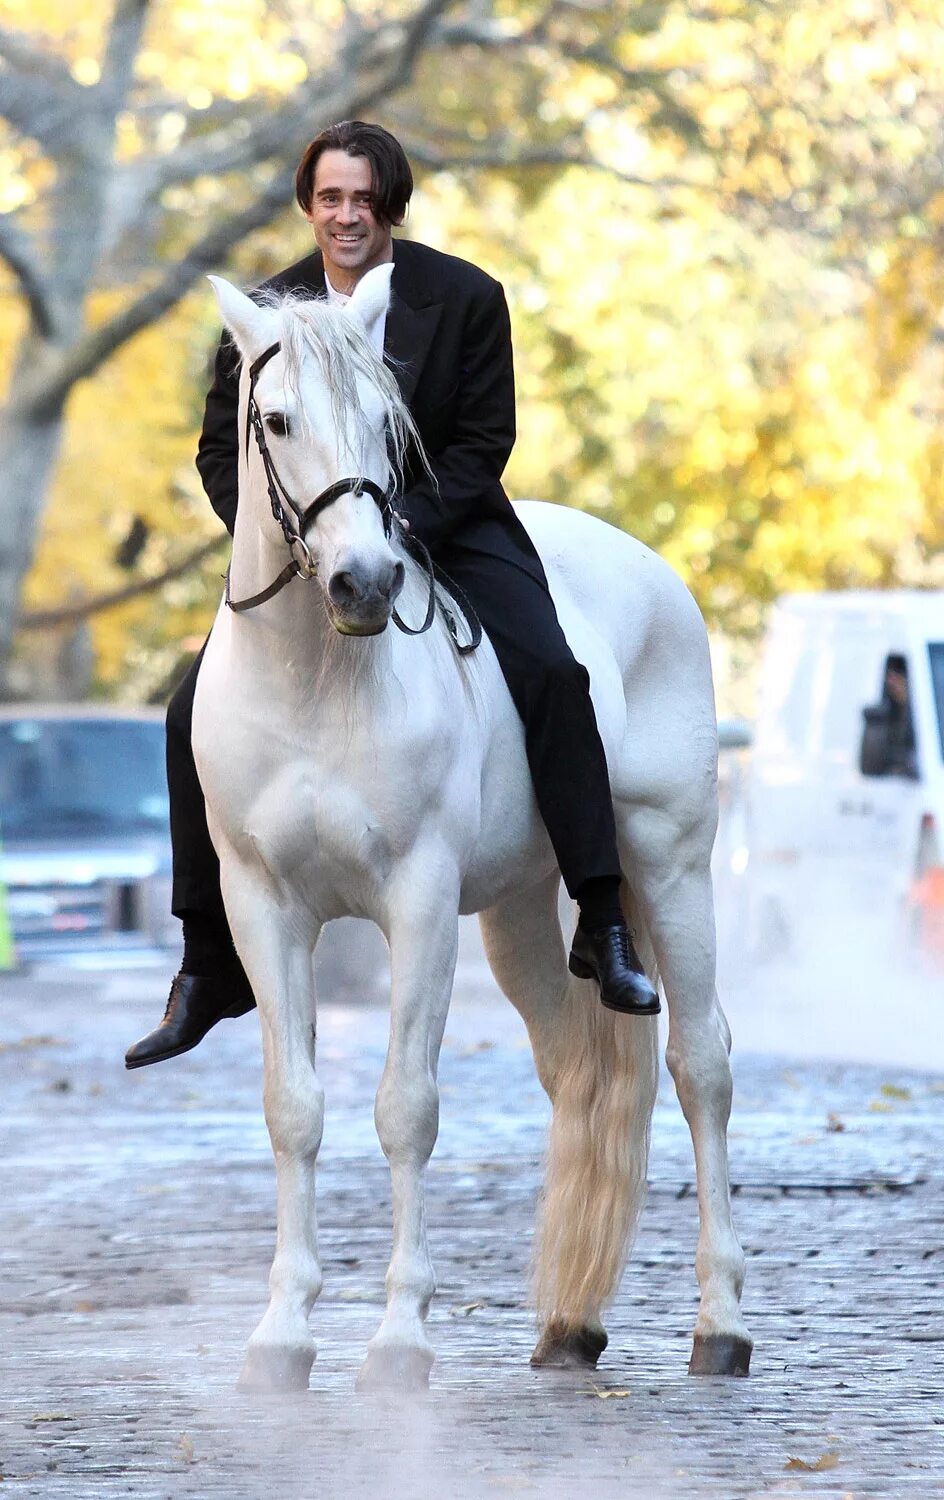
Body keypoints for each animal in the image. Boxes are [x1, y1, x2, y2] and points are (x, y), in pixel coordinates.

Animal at [191, 270, 750, 1392]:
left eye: (386, 423)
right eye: (274, 420)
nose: (365, 582)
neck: (316, 677)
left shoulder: (416, 901)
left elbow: (406, 1107)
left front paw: (401, 1338)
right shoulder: (261, 905)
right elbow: (293, 1109)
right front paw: (282, 1335)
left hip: (669, 863)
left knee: (699, 1065)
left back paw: (719, 1323)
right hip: (521, 916)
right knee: (577, 1073)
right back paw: (570, 1326)